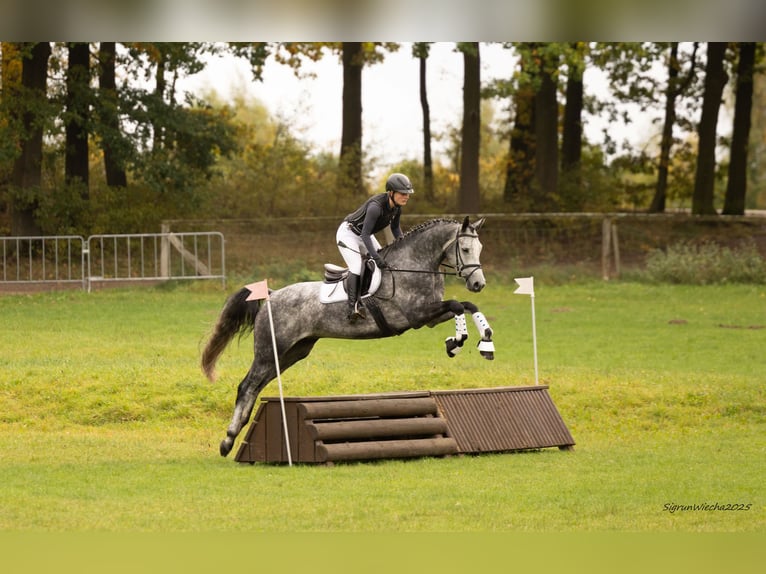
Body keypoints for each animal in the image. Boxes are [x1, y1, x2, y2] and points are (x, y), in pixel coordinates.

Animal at [201, 216, 496, 457]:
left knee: (257, 385)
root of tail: (271, 295)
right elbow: (457, 305)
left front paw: (484, 341)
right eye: (465, 249)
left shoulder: (431, 318)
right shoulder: (416, 315)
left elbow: (467, 305)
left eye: (480, 249)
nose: (478, 284)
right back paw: (227, 441)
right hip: (269, 350)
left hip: (292, 352)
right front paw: (458, 342)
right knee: (247, 385)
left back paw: (235, 434)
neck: (415, 266)